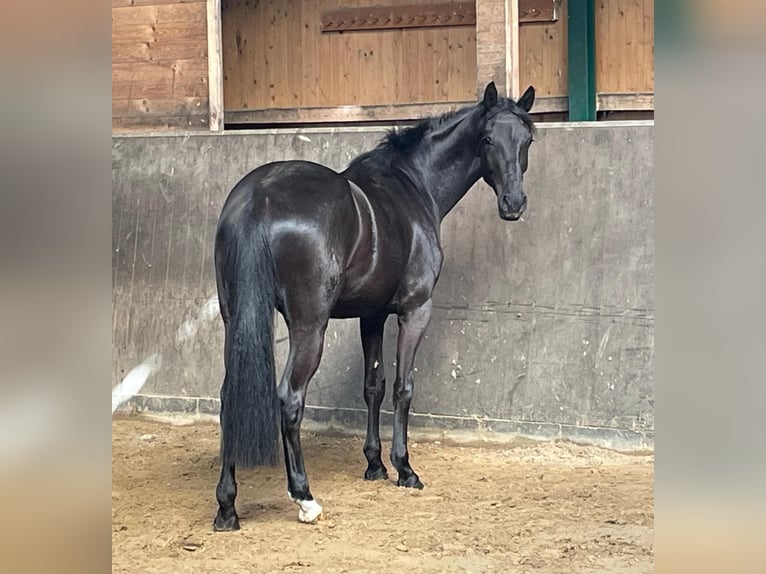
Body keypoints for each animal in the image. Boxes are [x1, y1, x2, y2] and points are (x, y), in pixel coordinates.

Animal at [210, 81, 536, 532]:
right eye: (487, 139)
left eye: (527, 139)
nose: (513, 203)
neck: (413, 187)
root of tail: (259, 196)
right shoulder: (414, 310)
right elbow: (402, 387)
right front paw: (404, 468)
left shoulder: (372, 315)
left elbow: (373, 386)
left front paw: (374, 464)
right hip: (309, 327)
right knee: (290, 398)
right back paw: (304, 497)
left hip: (234, 319)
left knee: (229, 399)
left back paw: (227, 505)